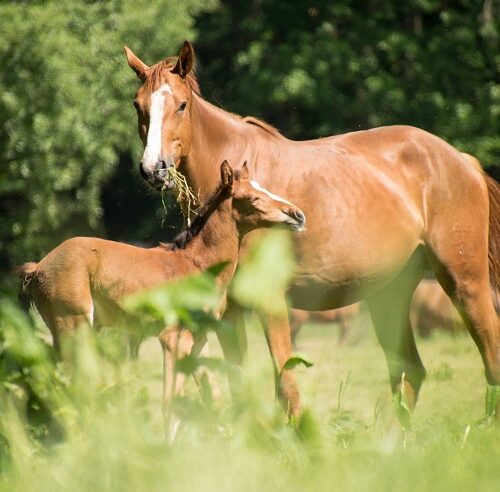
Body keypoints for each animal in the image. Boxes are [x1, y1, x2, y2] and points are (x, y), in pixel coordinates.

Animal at [124, 40, 500, 420]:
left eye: (181, 105)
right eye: (138, 105)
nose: (153, 169)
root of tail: (461, 160)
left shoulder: (270, 299)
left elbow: (286, 386)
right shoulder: (229, 312)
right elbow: (238, 386)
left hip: (464, 283)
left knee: (489, 360)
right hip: (388, 294)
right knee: (409, 371)